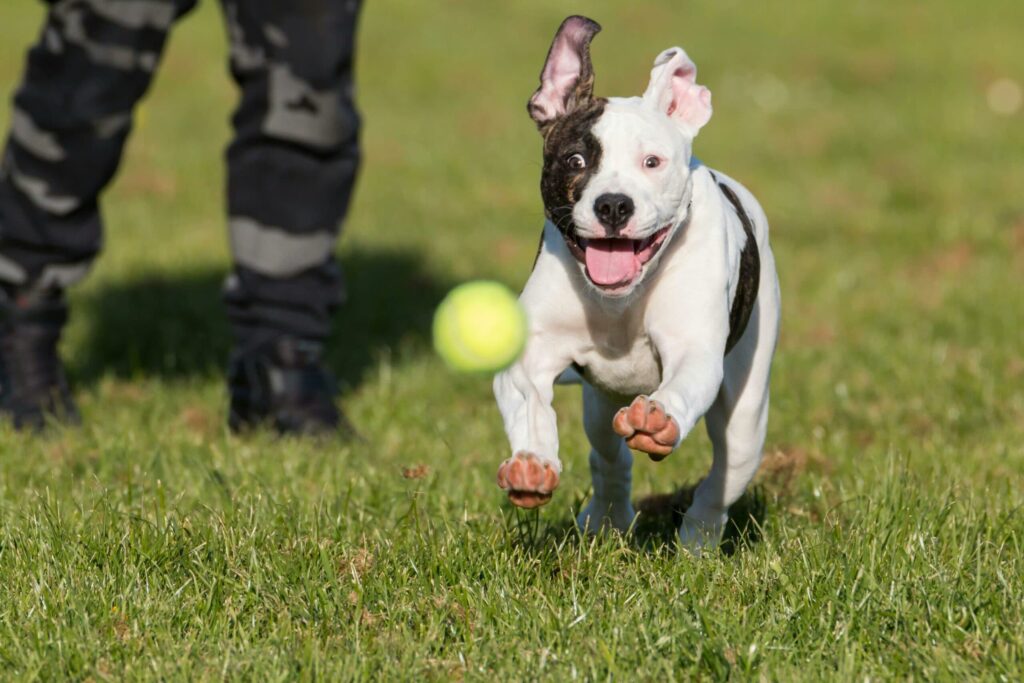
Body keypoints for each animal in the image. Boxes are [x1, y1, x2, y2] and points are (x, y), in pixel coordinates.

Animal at [491, 14, 778, 557]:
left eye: (652, 162)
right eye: (576, 161)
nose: (613, 205)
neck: (619, 301)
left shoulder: (694, 350)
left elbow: (683, 382)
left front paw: (658, 417)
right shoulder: (531, 354)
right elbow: (528, 397)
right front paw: (532, 462)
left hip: (747, 414)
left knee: (723, 477)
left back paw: (698, 541)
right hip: (600, 404)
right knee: (609, 459)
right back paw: (606, 519)